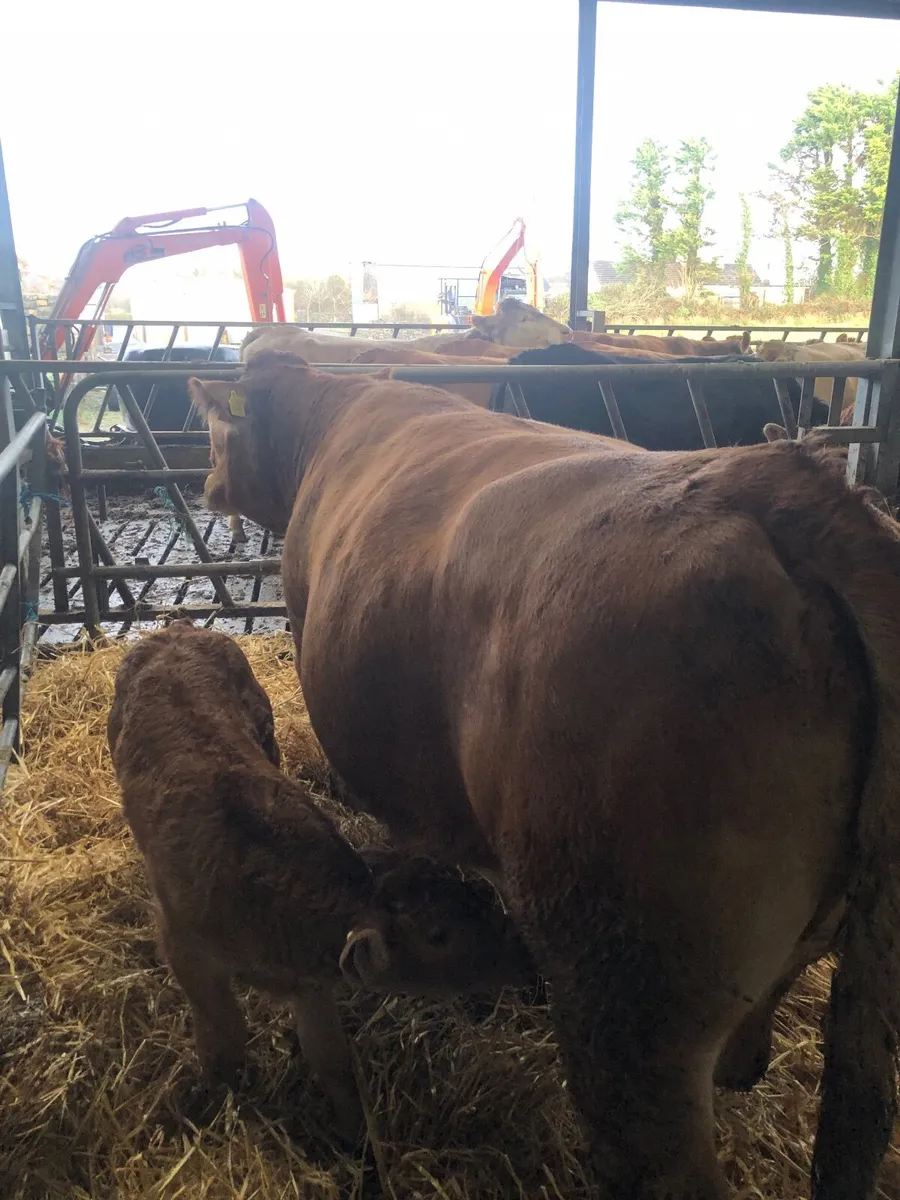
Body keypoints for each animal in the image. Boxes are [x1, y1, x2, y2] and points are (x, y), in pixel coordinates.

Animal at [108, 620, 535, 1143]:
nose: (525, 954)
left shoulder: (309, 983)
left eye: (476, 894)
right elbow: (224, 1037)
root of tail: (177, 628)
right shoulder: (186, 948)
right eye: (439, 935)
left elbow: (330, 1058)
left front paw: (356, 1138)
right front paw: (215, 1100)